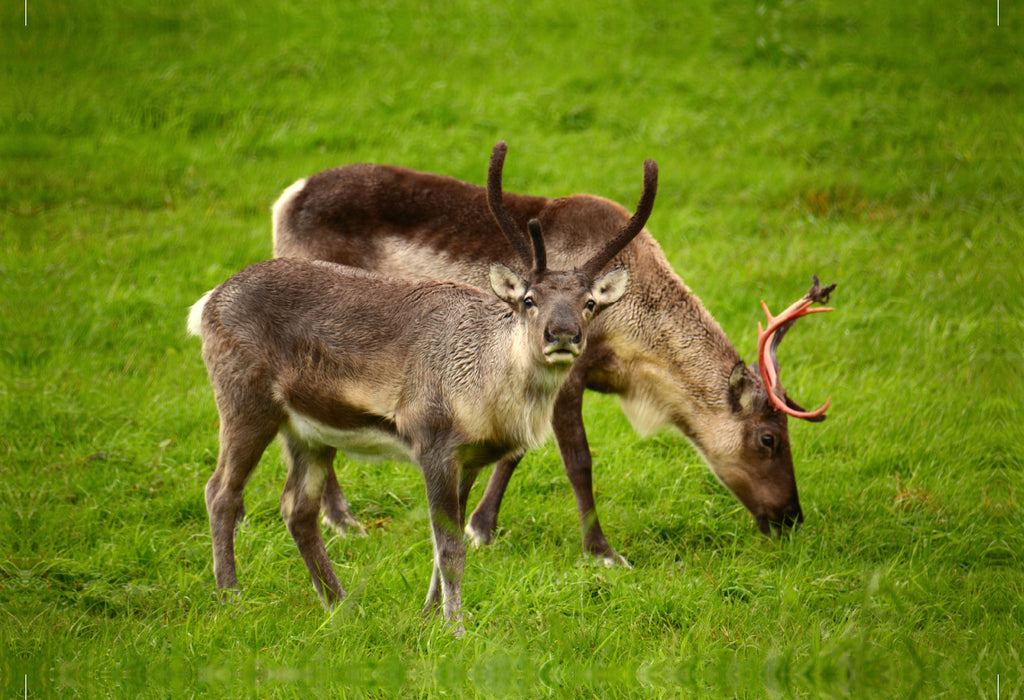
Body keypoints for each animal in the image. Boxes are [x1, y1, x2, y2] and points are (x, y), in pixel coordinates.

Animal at [187, 142, 658, 631]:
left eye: (590, 303)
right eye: (529, 299)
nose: (562, 334)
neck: (485, 391)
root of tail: (206, 304)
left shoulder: (470, 459)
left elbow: (441, 547)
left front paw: (430, 617)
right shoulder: (432, 441)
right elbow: (449, 550)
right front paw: (455, 627)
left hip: (308, 432)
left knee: (296, 508)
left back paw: (339, 604)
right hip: (244, 400)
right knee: (220, 492)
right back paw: (232, 599)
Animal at [271, 144, 837, 567]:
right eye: (768, 439)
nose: (791, 517)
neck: (632, 350)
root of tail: (284, 199)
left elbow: (516, 449)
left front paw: (480, 526)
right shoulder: (569, 370)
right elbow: (577, 460)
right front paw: (603, 552)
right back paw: (342, 519)